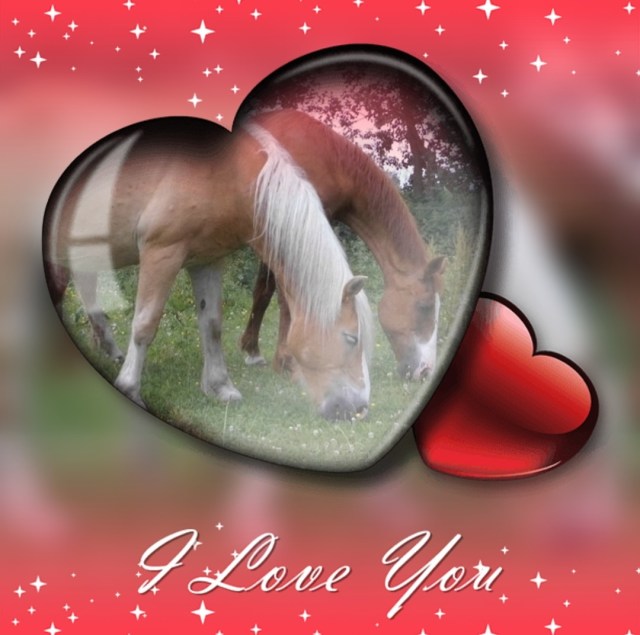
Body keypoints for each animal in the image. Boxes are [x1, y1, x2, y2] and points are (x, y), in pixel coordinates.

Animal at [43, 116, 373, 421]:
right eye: (351, 338)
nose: (359, 408)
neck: (224, 174)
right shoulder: (161, 253)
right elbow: (145, 325)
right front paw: (130, 388)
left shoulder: (206, 260)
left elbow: (212, 324)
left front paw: (220, 387)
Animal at [237, 110, 446, 381]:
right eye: (425, 306)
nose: (425, 371)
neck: (329, 161)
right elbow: (285, 298)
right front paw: (286, 361)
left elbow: (263, 291)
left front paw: (253, 351)